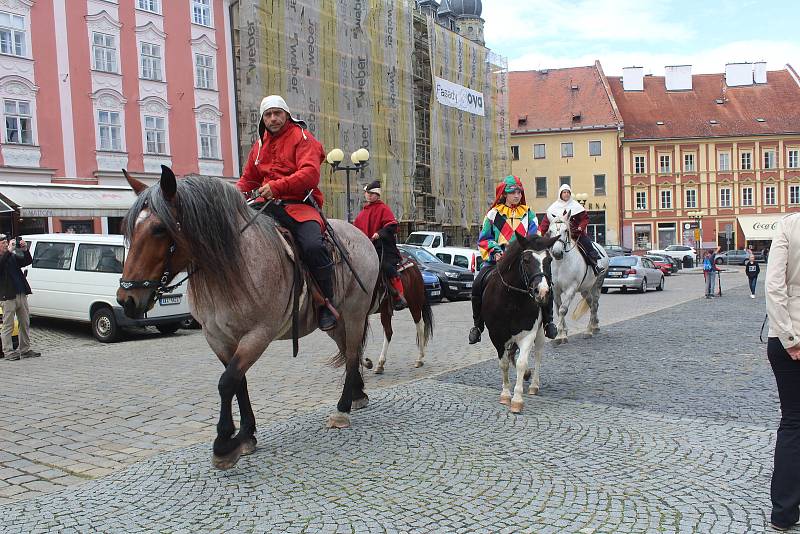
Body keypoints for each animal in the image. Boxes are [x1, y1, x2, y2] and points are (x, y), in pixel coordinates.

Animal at [116, 165, 382, 472]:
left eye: (159, 229)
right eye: (128, 230)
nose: (127, 299)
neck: (234, 265)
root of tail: (360, 235)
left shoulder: (258, 335)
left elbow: (226, 382)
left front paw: (223, 444)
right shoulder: (217, 338)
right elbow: (238, 382)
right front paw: (245, 435)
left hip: (354, 313)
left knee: (350, 354)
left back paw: (342, 408)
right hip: (335, 321)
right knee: (349, 349)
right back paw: (357, 394)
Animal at [478, 234, 560, 414]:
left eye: (549, 260)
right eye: (526, 260)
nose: (542, 292)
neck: (512, 300)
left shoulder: (528, 334)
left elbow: (523, 363)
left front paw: (516, 399)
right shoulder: (497, 335)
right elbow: (504, 364)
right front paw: (505, 394)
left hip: (539, 333)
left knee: (537, 354)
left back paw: (534, 384)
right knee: (510, 355)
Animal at [548, 211, 608, 346]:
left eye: (566, 230)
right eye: (550, 230)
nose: (557, 253)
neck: (561, 264)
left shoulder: (571, 289)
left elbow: (563, 310)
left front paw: (560, 335)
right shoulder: (555, 290)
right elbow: (558, 309)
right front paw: (562, 333)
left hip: (597, 285)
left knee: (595, 304)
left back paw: (589, 331)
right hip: (585, 289)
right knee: (591, 304)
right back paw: (594, 326)